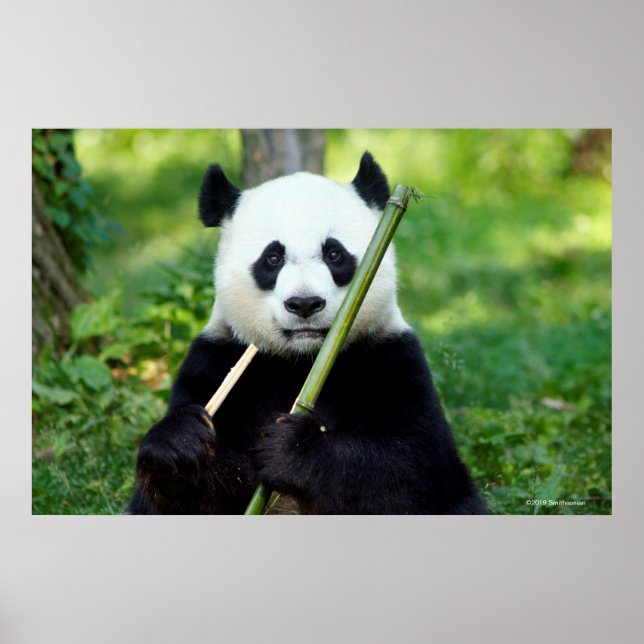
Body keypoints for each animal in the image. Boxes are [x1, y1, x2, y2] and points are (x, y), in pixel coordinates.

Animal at [127, 152, 486, 515]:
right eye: (272, 258)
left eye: (334, 253)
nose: (304, 303)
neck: (301, 362)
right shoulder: (216, 359)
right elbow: (193, 498)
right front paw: (179, 445)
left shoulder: (389, 358)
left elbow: (413, 468)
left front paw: (292, 448)